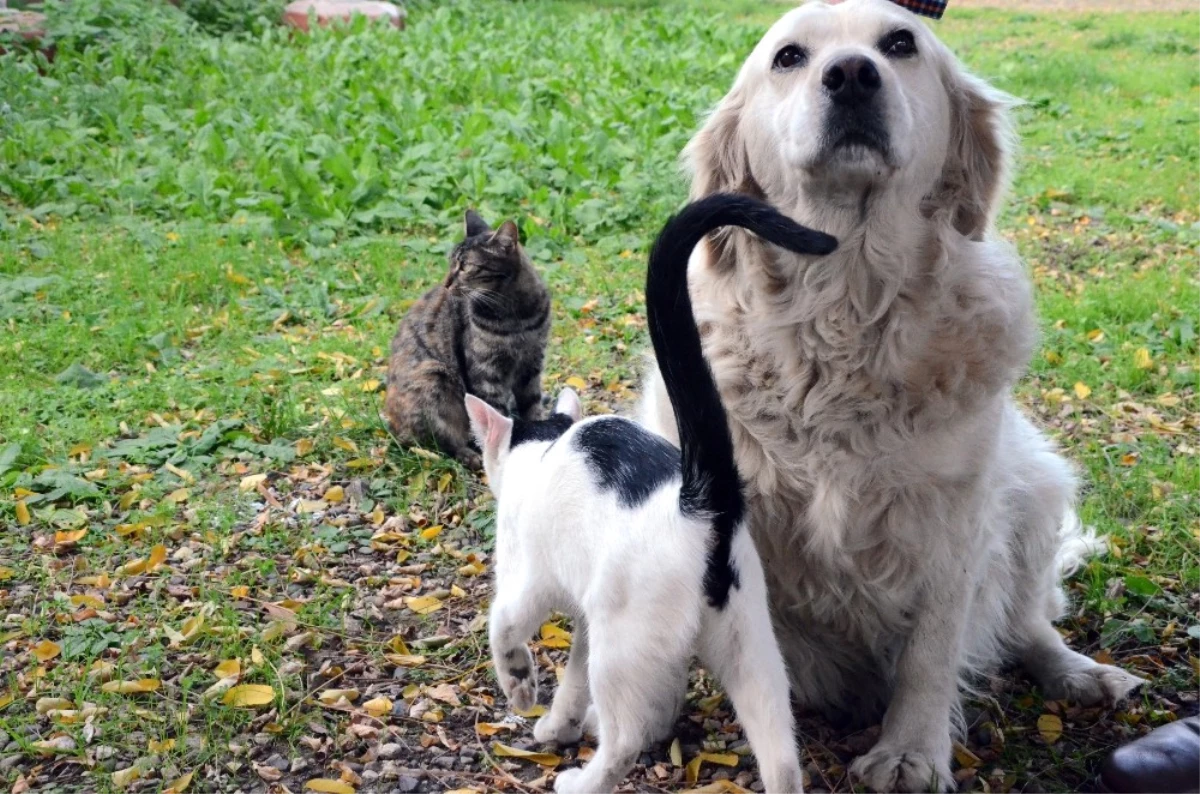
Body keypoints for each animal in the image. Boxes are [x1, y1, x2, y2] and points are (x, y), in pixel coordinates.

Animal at [386, 211, 549, 470]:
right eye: (450, 263)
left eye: (465, 266)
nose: (446, 283)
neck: (515, 316)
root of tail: (391, 424)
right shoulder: (485, 373)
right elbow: (495, 416)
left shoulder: (531, 365)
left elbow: (532, 406)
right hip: (433, 378)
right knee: (440, 441)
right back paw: (469, 455)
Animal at [463, 195, 840, 794]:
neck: (544, 445)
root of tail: (702, 500)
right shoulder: (586, 620)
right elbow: (572, 681)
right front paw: (558, 725)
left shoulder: (531, 577)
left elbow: (503, 624)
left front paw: (521, 688)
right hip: (750, 647)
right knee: (781, 758)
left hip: (622, 643)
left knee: (626, 739)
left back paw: (583, 781)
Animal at [643, 3, 1147, 791]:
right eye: (788, 57)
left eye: (900, 43)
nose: (851, 74)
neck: (846, 302)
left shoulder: (954, 518)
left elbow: (932, 652)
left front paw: (911, 752)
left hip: (1033, 488)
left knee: (1024, 624)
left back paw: (1081, 674)